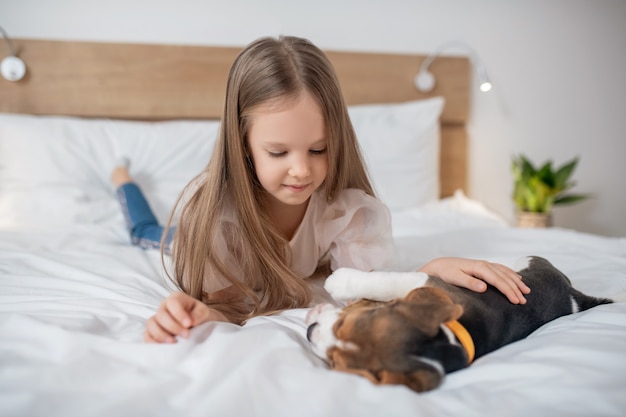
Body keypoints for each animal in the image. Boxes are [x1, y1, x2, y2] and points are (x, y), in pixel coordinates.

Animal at [304, 255, 612, 392]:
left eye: (335, 363)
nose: (309, 332)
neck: (451, 338)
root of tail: (573, 297)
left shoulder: (429, 283)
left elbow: (384, 282)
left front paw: (339, 281)